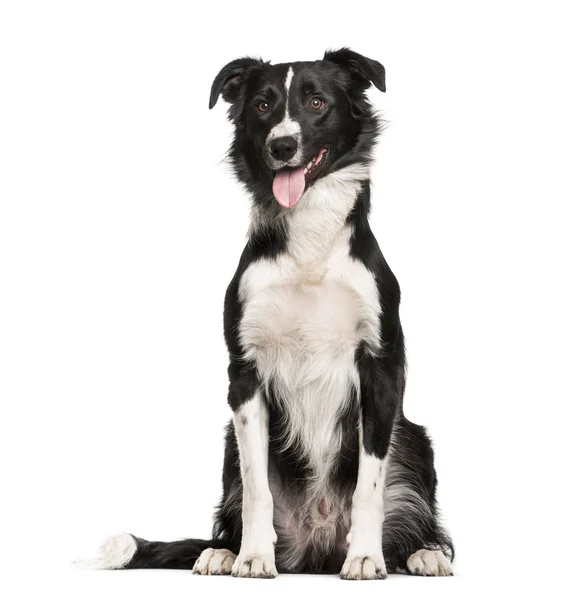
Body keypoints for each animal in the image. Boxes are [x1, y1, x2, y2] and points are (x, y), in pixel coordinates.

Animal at [93, 48, 454, 580]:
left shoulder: (381, 366)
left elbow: (369, 485)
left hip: (412, 437)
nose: (282, 146)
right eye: (263, 105)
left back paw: (421, 552)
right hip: (227, 439)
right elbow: (256, 485)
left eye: (317, 101)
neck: (308, 242)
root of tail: (317, 545)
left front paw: (366, 556)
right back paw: (223, 551)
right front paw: (253, 556)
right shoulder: (244, 373)